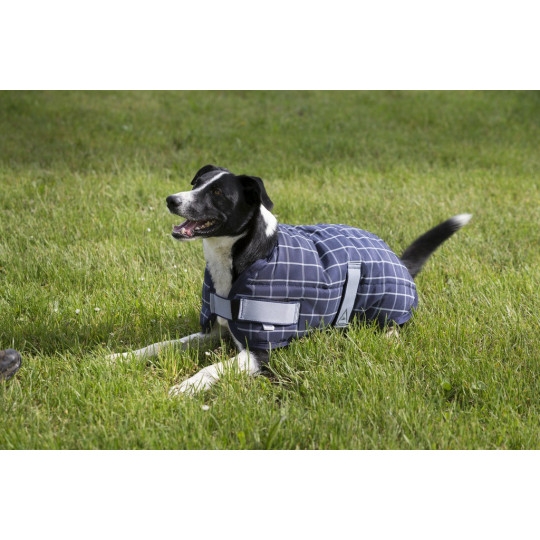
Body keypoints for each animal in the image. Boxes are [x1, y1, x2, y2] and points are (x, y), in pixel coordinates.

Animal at [109, 165, 471, 395]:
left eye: (217, 191)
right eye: (196, 181)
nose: (171, 200)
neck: (249, 255)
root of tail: (400, 261)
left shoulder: (258, 354)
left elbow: (209, 368)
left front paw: (185, 387)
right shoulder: (214, 331)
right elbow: (165, 344)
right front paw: (121, 358)